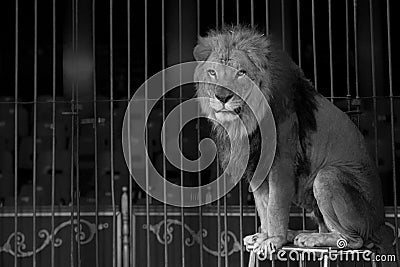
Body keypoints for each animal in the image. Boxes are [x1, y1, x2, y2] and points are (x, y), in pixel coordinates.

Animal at [194, 26, 394, 258]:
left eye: (241, 73)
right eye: (212, 72)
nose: (222, 97)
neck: (246, 121)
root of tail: (382, 225)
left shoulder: (282, 164)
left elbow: (275, 207)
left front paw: (273, 240)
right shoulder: (256, 164)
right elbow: (263, 206)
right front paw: (265, 236)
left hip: (327, 177)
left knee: (354, 240)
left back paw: (310, 238)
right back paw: (294, 234)